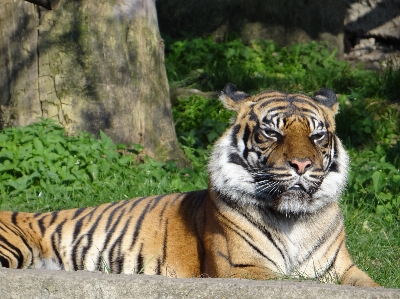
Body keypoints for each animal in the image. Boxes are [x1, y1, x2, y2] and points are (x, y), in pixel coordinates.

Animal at [0, 84, 378, 288]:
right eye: (271, 132)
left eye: (317, 135)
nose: (302, 165)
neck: (294, 219)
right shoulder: (241, 269)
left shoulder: (343, 269)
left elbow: (374, 285)